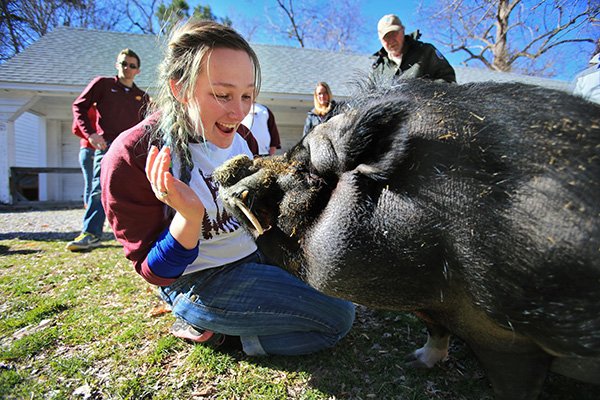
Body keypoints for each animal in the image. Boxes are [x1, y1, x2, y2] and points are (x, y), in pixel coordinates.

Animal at [213, 79, 596, 398]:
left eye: (308, 173)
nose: (236, 173)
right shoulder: (431, 307)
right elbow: (435, 333)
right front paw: (414, 362)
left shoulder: (512, 343)